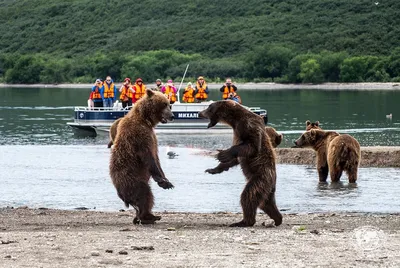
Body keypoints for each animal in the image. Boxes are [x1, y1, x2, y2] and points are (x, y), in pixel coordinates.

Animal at [108, 89, 174, 224]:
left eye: (169, 104)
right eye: (164, 104)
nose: (172, 116)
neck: (145, 120)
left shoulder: (152, 136)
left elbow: (157, 158)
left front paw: (165, 179)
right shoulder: (139, 135)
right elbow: (149, 157)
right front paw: (164, 181)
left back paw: (140, 216)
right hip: (130, 178)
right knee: (145, 194)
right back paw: (148, 217)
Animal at [199, 99, 282, 227]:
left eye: (209, 107)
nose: (199, 113)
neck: (235, 120)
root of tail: (273, 181)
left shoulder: (248, 125)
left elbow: (252, 146)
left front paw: (223, 154)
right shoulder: (237, 131)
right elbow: (236, 158)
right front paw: (213, 169)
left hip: (261, 176)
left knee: (249, 195)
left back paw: (243, 221)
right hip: (267, 187)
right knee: (266, 203)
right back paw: (277, 219)